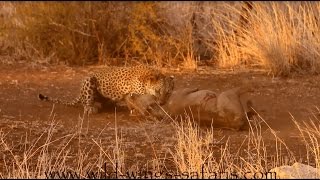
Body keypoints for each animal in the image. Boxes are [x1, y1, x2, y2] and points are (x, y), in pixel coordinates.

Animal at [38, 65, 176, 114]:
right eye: (158, 91)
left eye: (168, 93)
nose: (162, 103)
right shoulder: (132, 94)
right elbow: (136, 103)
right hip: (89, 80)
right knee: (86, 102)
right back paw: (91, 108)